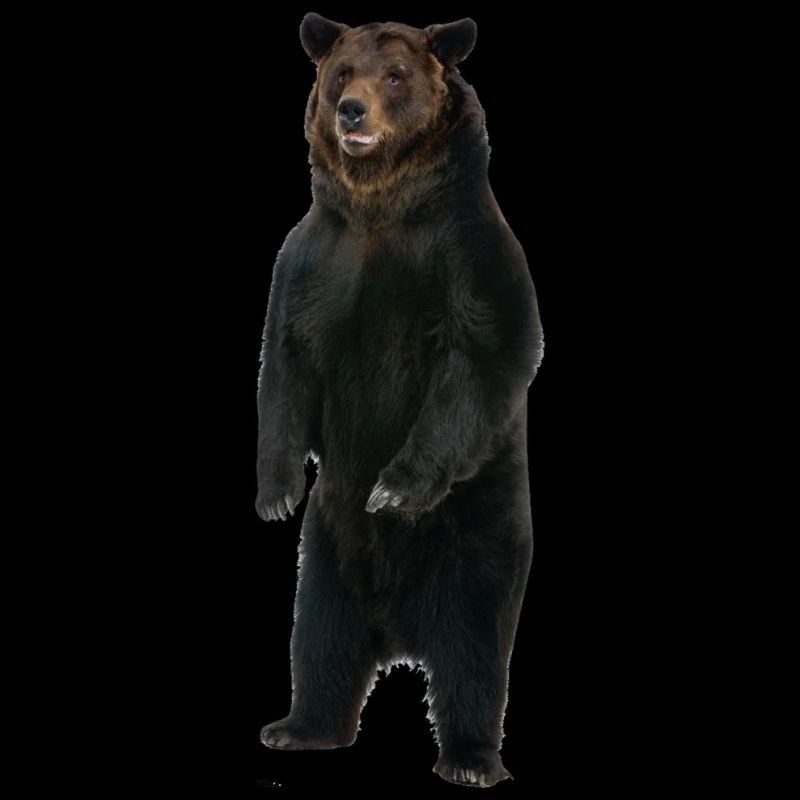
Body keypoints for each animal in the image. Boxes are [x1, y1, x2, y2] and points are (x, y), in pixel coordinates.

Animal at [256, 13, 544, 788]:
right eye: (340, 73)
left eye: (396, 75)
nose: (352, 111)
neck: (380, 206)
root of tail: (399, 630)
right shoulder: (313, 261)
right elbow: (284, 366)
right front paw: (276, 491)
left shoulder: (465, 255)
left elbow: (479, 358)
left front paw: (393, 489)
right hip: (326, 553)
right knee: (319, 637)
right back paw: (299, 726)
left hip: (479, 535)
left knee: (474, 652)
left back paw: (470, 758)